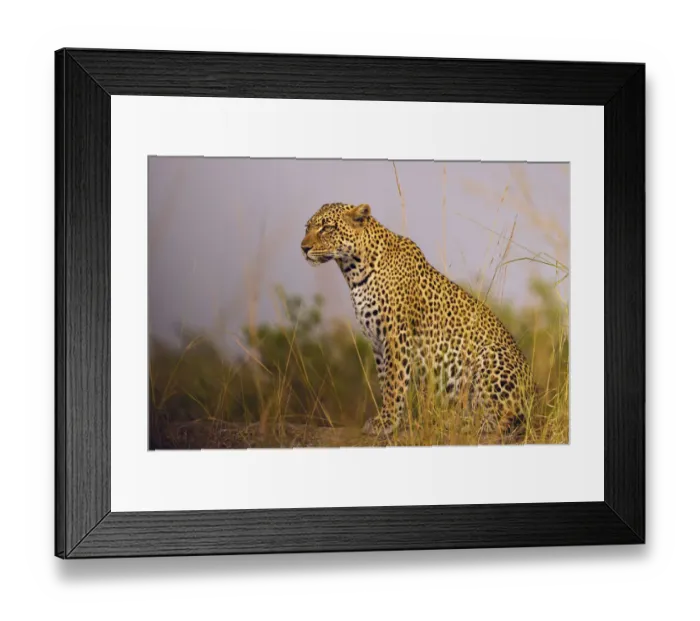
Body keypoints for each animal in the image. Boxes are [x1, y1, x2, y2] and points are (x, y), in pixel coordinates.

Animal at [301, 202, 536, 443]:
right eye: (307, 228)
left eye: (327, 228)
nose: (304, 248)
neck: (353, 271)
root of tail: (533, 400)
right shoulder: (377, 341)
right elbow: (386, 380)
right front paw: (394, 420)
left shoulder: (396, 335)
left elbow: (394, 382)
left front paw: (386, 422)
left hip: (489, 359)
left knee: (500, 420)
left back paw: (455, 421)